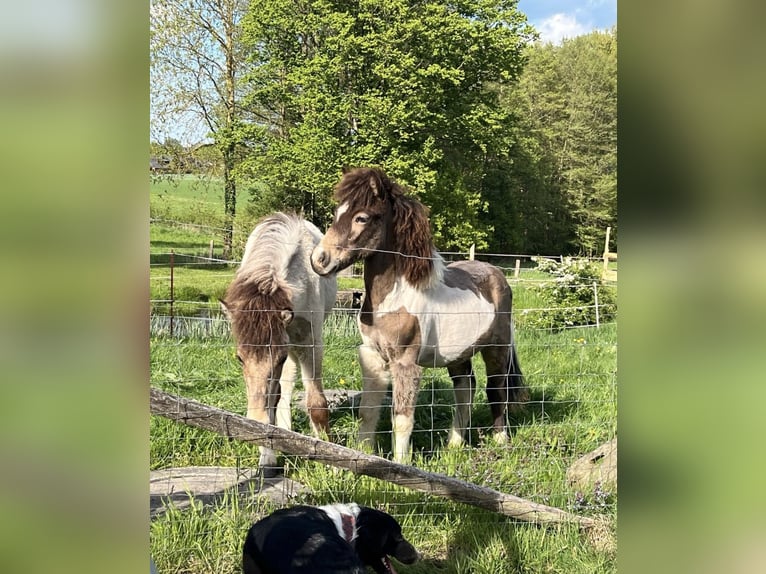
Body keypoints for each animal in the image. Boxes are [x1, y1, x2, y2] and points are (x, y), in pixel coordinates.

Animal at [221, 212, 337, 472]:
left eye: (279, 357)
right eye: (239, 358)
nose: (254, 420)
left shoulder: (311, 341)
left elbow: (316, 403)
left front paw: (332, 464)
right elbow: (272, 400)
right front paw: (268, 459)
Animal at [310, 167, 528, 463]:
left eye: (361, 217)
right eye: (336, 213)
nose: (319, 260)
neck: (395, 297)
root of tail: (497, 275)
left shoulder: (405, 363)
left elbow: (402, 419)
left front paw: (401, 465)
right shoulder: (372, 355)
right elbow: (367, 411)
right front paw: (362, 455)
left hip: (497, 348)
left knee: (496, 389)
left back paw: (500, 441)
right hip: (458, 354)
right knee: (466, 388)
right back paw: (454, 445)